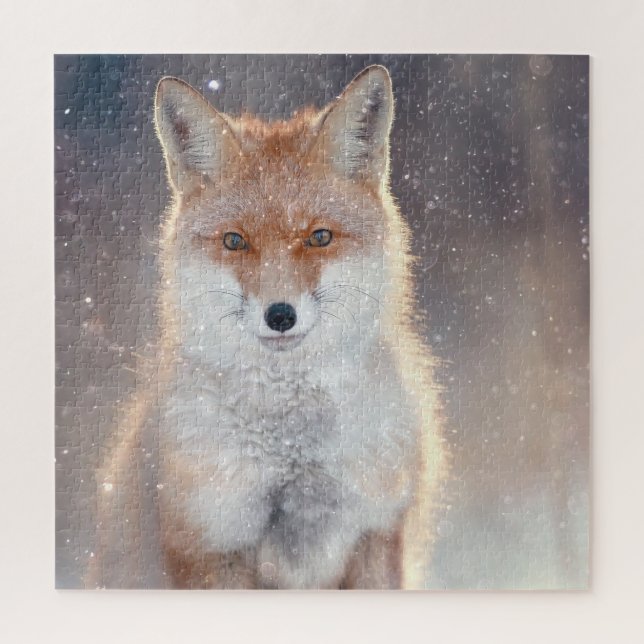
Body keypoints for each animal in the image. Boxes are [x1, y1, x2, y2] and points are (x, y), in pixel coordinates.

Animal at [86, 65, 447, 590]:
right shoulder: (211, 541)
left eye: (319, 237)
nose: (280, 315)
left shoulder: (375, 533)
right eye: (235, 241)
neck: (292, 451)